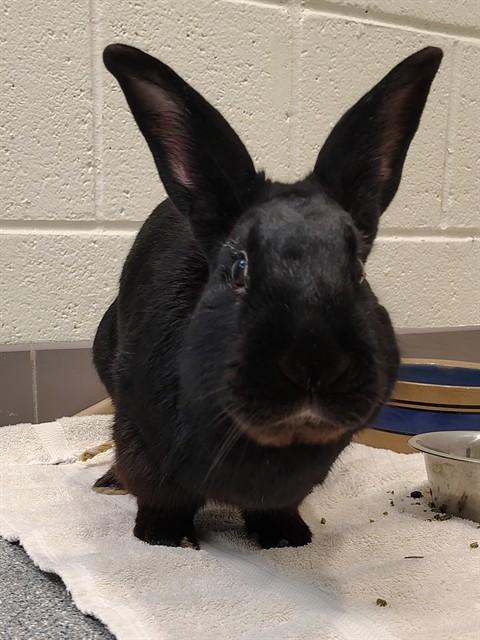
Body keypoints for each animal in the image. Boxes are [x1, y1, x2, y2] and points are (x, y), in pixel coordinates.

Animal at [93, 43, 442, 549]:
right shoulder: (140, 438)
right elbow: (159, 495)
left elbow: (279, 508)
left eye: (358, 270)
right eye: (238, 268)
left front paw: (288, 538)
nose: (315, 364)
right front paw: (164, 538)